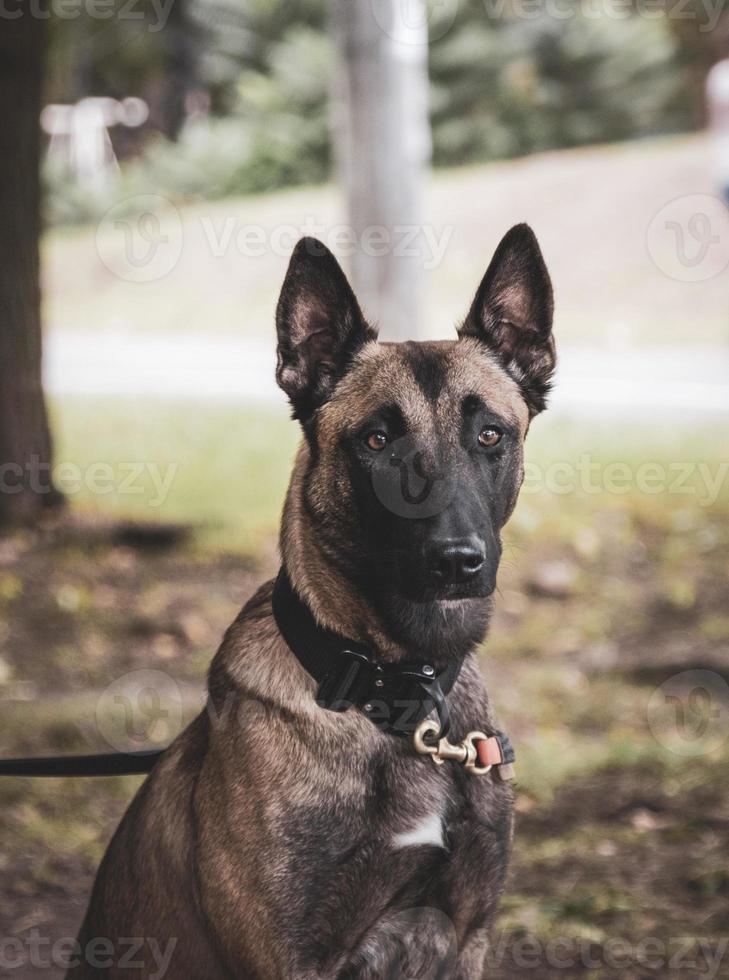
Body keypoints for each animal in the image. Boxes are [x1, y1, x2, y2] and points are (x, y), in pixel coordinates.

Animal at [68, 224, 556, 980]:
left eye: (490, 435)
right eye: (377, 440)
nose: (456, 562)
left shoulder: (466, 932)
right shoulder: (292, 957)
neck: (393, 696)